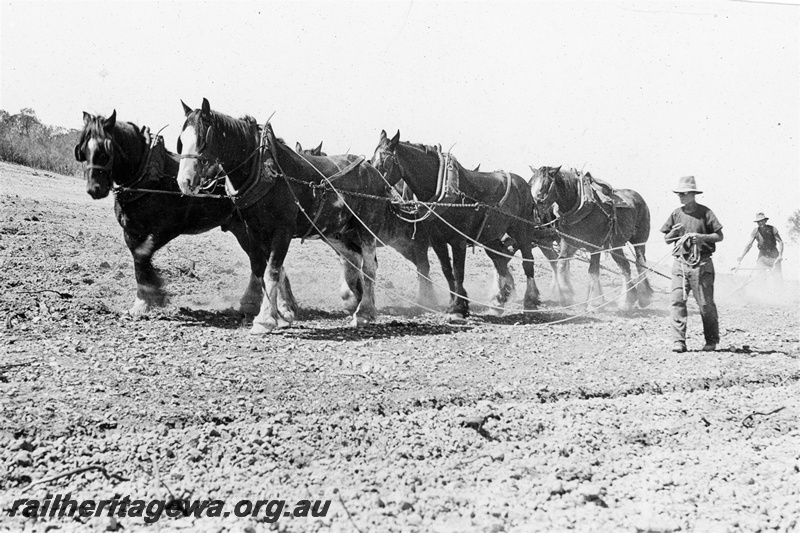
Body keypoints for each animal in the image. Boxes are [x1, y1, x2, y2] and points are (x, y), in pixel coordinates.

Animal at [74, 110, 297, 316]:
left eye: (105, 151)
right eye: (83, 151)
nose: (94, 189)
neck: (148, 176)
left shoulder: (169, 228)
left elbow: (142, 254)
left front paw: (152, 296)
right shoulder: (131, 231)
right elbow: (138, 259)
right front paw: (144, 299)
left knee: (267, 262)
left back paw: (283, 306)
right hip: (245, 230)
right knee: (264, 262)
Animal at [176, 98, 391, 333]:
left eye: (203, 139)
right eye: (181, 140)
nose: (184, 181)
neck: (263, 170)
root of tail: (374, 172)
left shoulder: (283, 230)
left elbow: (272, 270)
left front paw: (265, 320)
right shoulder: (253, 230)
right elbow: (261, 267)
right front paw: (277, 313)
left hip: (367, 227)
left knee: (369, 266)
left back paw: (364, 312)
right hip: (336, 232)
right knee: (352, 258)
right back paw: (354, 300)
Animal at [371, 130, 557, 318]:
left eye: (384, 162)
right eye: (371, 160)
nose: (374, 184)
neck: (446, 190)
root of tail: (525, 185)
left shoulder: (457, 241)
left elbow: (458, 271)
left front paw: (460, 307)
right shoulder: (437, 241)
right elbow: (447, 271)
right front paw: (453, 305)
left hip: (522, 231)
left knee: (527, 262)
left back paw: (530, 302)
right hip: (490, 238)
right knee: (500, 262)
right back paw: (499, 300)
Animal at [528, 166, 654, 310]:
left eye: (544, 186)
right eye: (530, 183)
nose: (533, 208)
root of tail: (638, 197)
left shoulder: (595, 246)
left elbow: (593, 271)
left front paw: (594, 302)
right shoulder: (568, 243)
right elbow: (560, 264)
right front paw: (566, 295)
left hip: (639, 241)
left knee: (639, 263)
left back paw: (643, 297)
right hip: (615, 245)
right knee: (625, 267)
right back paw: (627, 300)